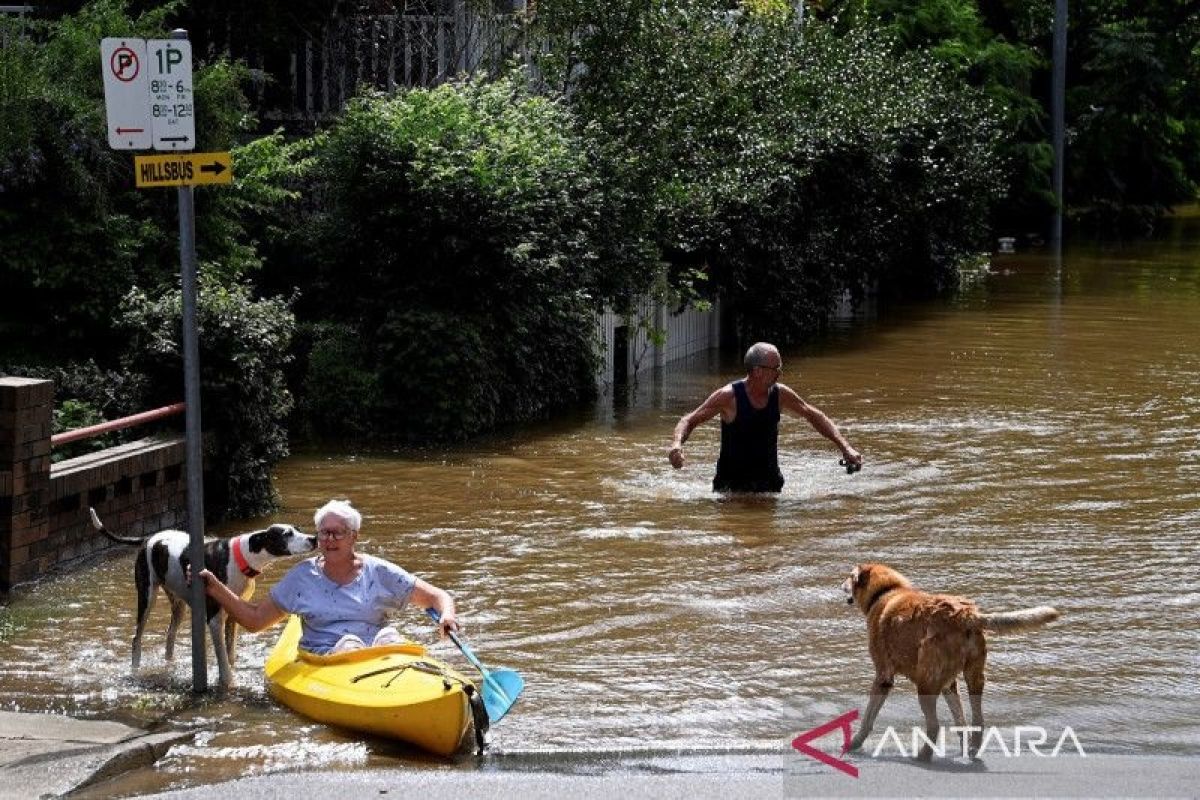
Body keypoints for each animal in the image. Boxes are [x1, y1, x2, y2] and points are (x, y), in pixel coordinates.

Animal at [89, 506, 316, 690]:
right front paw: (228, 684)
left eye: (297, 529)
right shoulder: (215, 618)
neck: (241, 556)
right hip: (146, 596)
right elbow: (223, 660)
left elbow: (230, 654)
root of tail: (148, 539)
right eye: (287, 534)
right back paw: (135, 671)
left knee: (169, 636)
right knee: (136, 639)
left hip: (178, 605)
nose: (313, 539)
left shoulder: (234, 614)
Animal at [844, 563, 1060, 762]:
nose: (841, 585)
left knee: (934, 726)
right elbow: (960, 720)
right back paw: (971, 750)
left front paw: (854, 743)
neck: (887, 591)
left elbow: (868, 718)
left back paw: (923, 755)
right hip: (973, 677)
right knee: (976, 720)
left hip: (925, 684)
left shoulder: (883, 677)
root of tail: (965, 615)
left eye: (850, 576)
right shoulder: (949, 684)